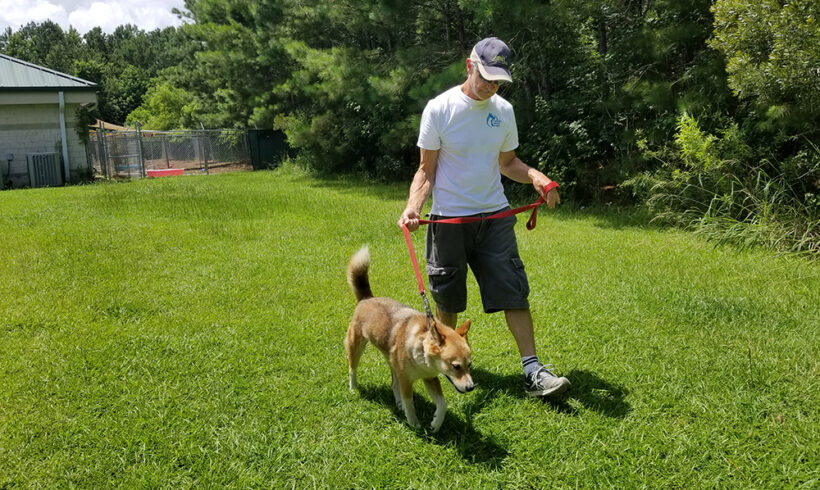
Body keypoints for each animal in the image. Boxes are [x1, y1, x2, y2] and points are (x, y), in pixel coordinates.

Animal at [346, 247, 474, 430]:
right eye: (456, 366)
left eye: (469, 365)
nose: (471, 387)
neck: (420, 349)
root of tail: (367, 298)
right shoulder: (406, 380)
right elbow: (410, 404)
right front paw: (414, 424)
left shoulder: (430, 377)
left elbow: (442, 403)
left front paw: (436, 423)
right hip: (355, 346)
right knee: (352, 369)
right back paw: (353, 388)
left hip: (391, 360)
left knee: (393, 383)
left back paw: (398, 403)